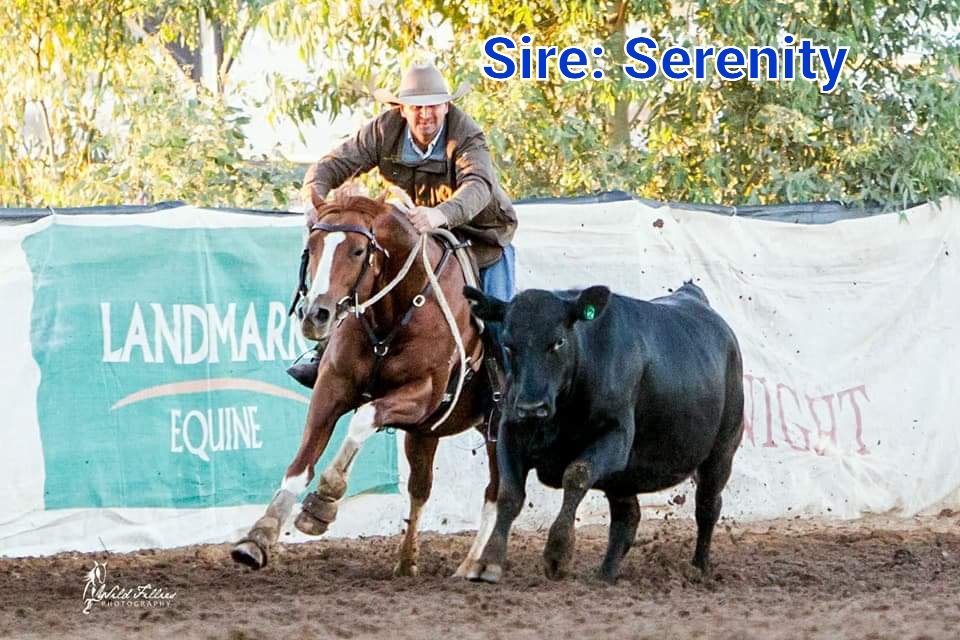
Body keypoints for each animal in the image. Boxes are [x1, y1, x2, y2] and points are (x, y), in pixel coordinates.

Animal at [231, 190, 500, 578]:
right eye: (312, 246)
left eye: (358, 251)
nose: (315, 315)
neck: (398, 309)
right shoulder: (332, 387)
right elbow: (300, 464)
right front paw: (259, 536)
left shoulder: (422, 395)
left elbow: (363, 419)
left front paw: (324, 501)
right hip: (428, 434)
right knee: (422, 489)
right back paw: (407, 561)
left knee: (499, 493)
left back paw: (472, 565)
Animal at [462, 281, 744, 584]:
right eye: (508, 344)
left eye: (558, 341)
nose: (531, 407)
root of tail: (692, 296)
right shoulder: (510, 433)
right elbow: (509, 493)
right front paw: (489, 561)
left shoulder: (616, 437)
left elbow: (576, 474)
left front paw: (557, 553)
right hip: (625, 476)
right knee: (627, 519)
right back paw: (606, 575)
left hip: (721, 453)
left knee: (707, 506)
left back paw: (699, 567)